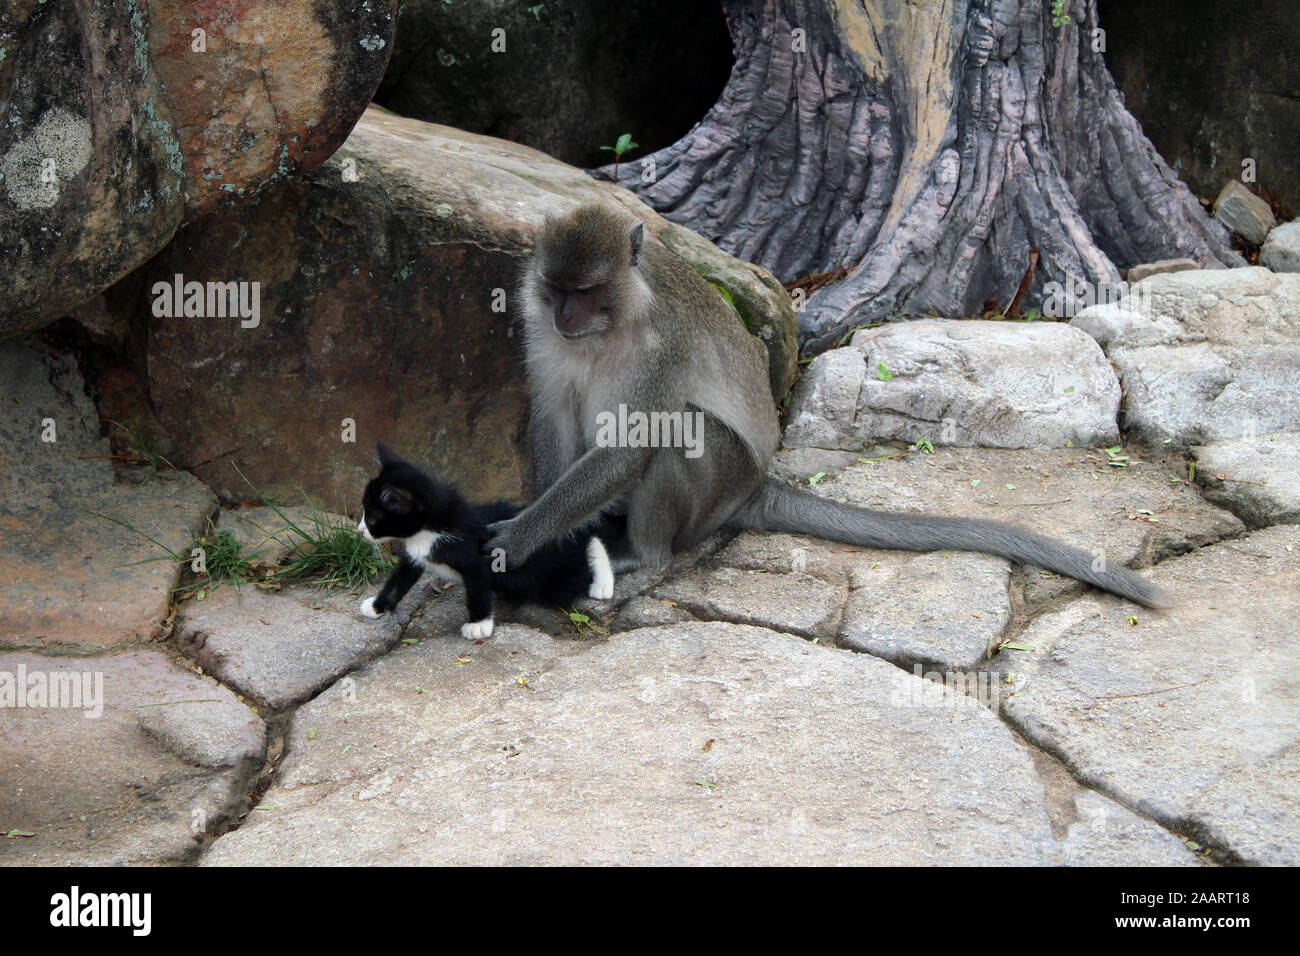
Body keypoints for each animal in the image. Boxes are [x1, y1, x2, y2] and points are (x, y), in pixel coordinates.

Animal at [356, 442, 618, 639]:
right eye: (364, 512)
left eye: (373, 518)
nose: (359, 531)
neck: (429, 530)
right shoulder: (416, 555)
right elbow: (399, 581)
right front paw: (377, 606)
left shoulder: (479, 558)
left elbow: (478, 591)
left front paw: (479, 625)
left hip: (551, 581)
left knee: (585, 553)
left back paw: (602, 582)